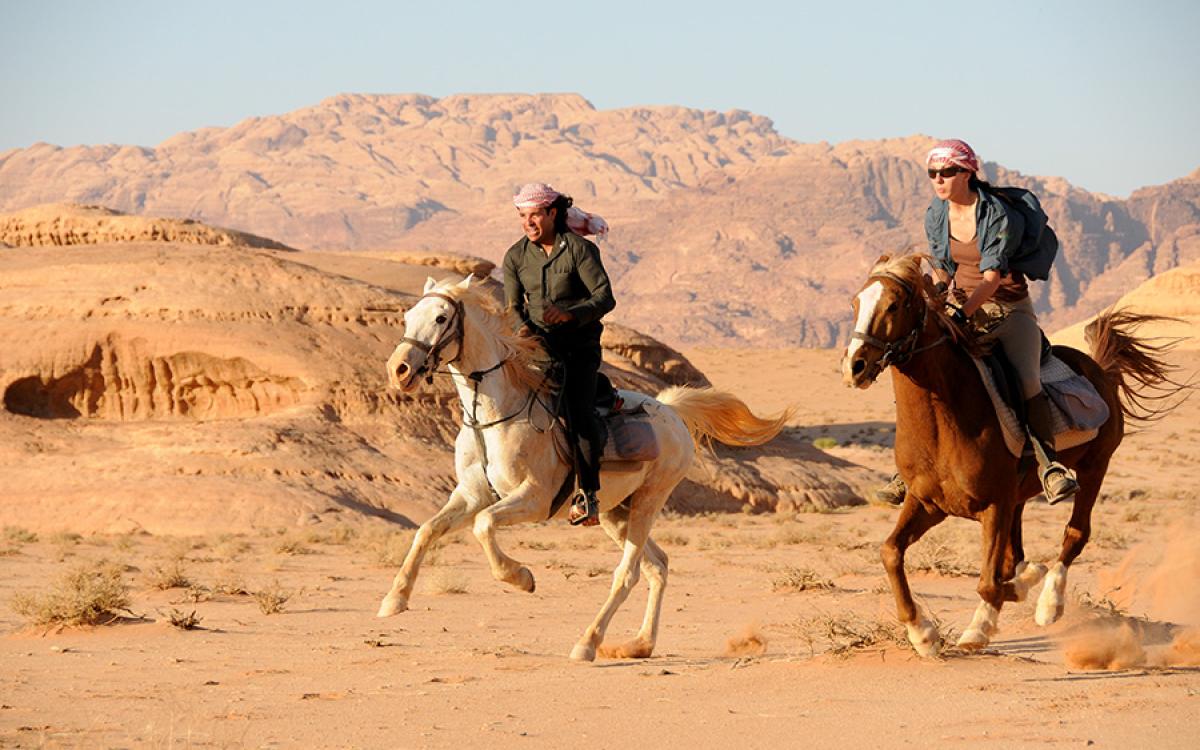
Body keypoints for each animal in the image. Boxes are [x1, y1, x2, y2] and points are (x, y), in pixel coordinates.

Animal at [378, 275, 789, 661]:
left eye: (441, 317)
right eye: (407, 317)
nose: (399, 370)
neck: (494, 415)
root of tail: (672, 411)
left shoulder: (534, 499)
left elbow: (484, 526)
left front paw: (522, 577)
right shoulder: (471, 494)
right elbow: (427, 530)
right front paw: (394, 599)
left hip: (648, 501)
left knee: (628, 574)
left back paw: (588, 643)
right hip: (614, 512)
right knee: (658, 565)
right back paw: (640, 644)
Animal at [841, 254, 1185, 656]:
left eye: (894, 304)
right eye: (855, 303)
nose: (854, 366)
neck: (945, 421)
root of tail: (1100, 369)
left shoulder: (994, 506)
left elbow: (990, 582)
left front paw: (1007, 602)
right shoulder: (928, 503)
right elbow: (891, 552)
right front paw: (922, 633)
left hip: (1093, 468)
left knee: (1075, 534)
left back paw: (1047, 604)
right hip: (1019, 497)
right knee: (1013, 555)